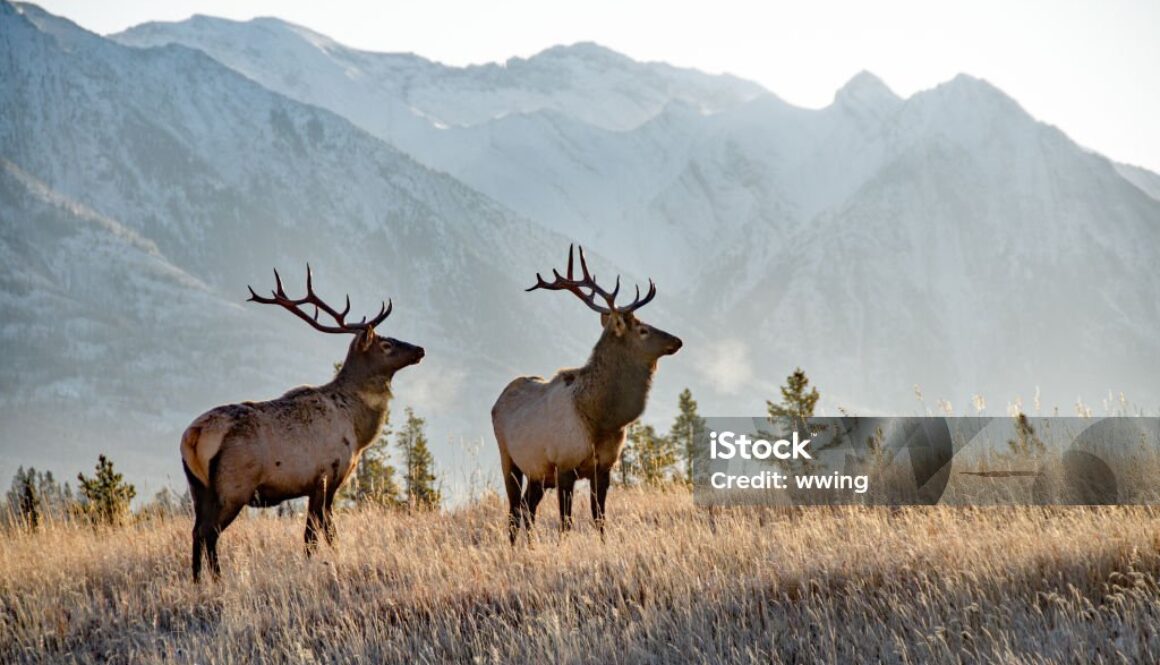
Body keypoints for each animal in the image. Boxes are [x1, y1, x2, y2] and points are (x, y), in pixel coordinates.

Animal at [184, 268, 426, 580]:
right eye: (386, 345)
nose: (419, 349)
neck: (358, 430)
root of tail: (193, 435)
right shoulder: (327, 475)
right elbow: (322, 532)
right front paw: (326, 562)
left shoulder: (317, 484)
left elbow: (315, 532)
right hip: (233, 486)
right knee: (210, 533)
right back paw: (217, 579)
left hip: (198, 488)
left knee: (196, 532)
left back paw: (198, 581)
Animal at [494, 241, 682, 540]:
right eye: (642, 330)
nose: (677, 340)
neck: (601, 420)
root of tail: (497, 401)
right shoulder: (563, 465)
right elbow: (565, 522)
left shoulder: (603, 467)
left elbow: (599, 518)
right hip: (509, 459)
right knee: (514, 511)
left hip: (537, 472)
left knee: (527, 507)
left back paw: (531, 544)